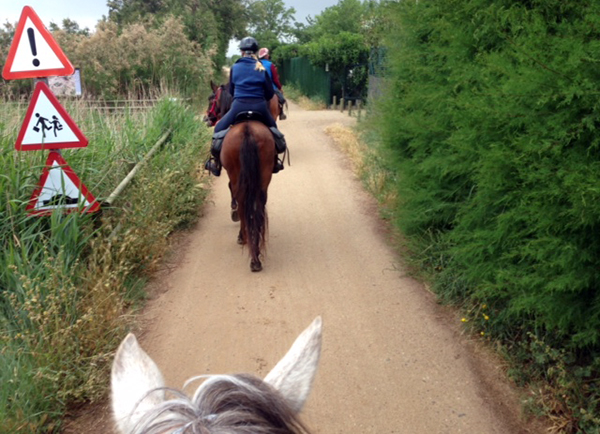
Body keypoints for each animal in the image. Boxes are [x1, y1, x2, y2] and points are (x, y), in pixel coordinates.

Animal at [221, 117, 276, 270]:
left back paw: (245, 241)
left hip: (236, 175)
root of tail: (247, 130)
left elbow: (231, 190)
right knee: (258, 208)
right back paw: (255, 256)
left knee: (242, 206)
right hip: (264, 178)